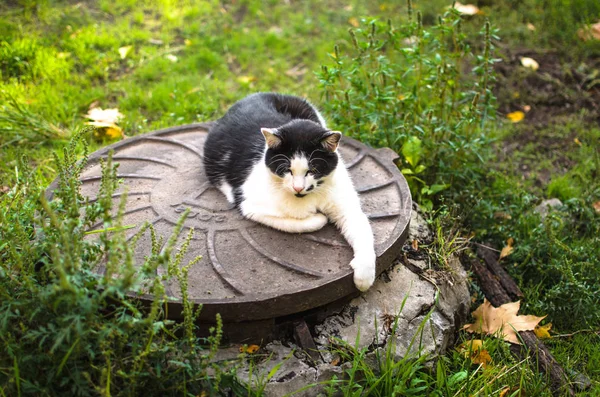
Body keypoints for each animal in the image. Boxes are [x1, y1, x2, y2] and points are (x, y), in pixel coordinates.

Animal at [204, 93, 378, 290]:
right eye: (287, 170)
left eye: (312, 170)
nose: (298, 187)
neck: (309, 197)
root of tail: (254, 94)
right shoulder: (250, 205)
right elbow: (298, 223)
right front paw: (319, 217)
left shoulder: (346, 205)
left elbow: (362, 230)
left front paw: (364, 276)